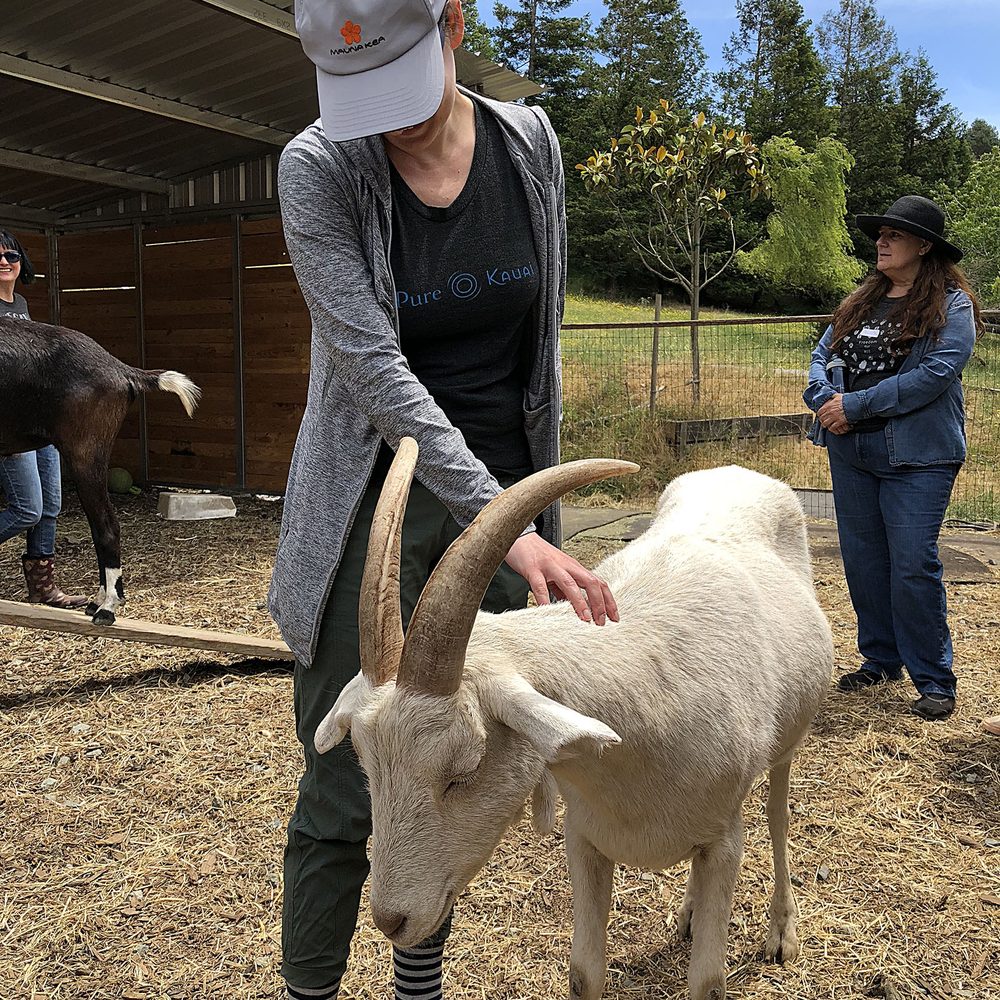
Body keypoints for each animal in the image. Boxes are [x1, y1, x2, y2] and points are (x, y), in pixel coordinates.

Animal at [315, 438, 834, 1000]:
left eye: (464, 771)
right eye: (366, 766)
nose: (391, 921)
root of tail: (735, 470)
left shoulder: (723, 840)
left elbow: (709, 982)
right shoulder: (586, 839)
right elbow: (585, 974)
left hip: (785, 748)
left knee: (778, 816)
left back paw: (781, 931)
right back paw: (690, 914)